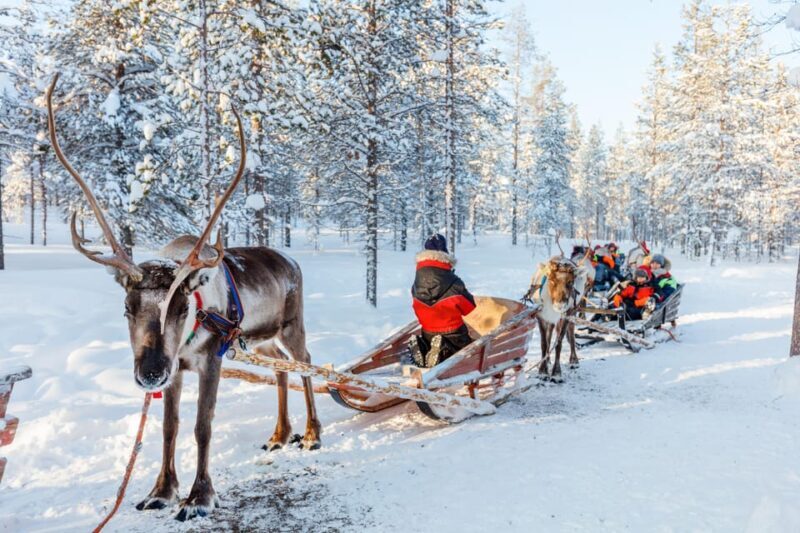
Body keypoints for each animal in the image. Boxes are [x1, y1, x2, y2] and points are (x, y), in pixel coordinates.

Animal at [46, 74, 321, 521]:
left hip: (291, 326)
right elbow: (169, 427)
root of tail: (291, 260)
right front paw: (162, 491)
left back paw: (313, 434)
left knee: (306, 364)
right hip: (261, 338)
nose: (149, 373)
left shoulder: (211, 360)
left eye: (182, 306)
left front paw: (200, 497)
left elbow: (202, 425)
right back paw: (280, 434)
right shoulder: (176, 368)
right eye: (127, 308)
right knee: (281, 369)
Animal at [523, 233, 594, 382]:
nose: (560, 305)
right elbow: (544, 342)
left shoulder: (566, 314)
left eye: (570, 281)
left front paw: (556, 373)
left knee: (571, 333)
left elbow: (559, 342)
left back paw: (573, 360)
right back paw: (548, 359)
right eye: (551, 280)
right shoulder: (541, 316)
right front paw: (543, 371)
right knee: (550, 334)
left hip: (572, 311)